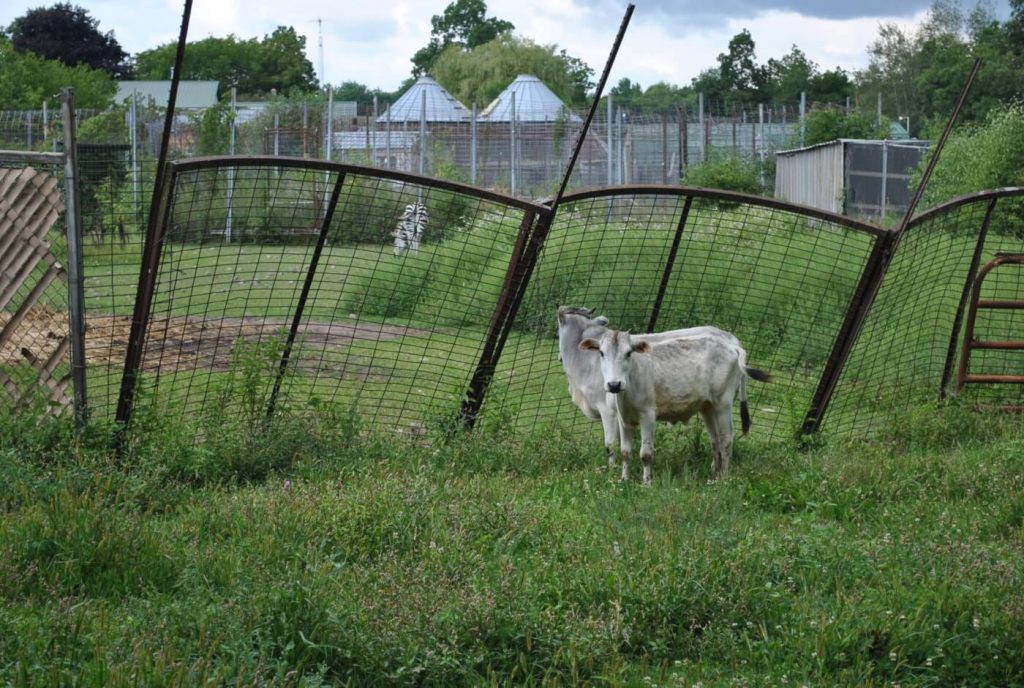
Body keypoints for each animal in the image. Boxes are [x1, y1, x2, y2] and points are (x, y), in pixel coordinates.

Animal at [581, 329, 770, 483]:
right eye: (601, 353)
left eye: (628, 353)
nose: (614, 384)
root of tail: (732, 346)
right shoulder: (623, 419)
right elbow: (625, 451)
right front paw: (624, 480)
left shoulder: (648, 415)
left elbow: (645, 454)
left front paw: (646, 483)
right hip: (708, 406)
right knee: (715, 439)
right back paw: (713, 474)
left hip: (723, 402)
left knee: (726, 438)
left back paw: (723, 478)